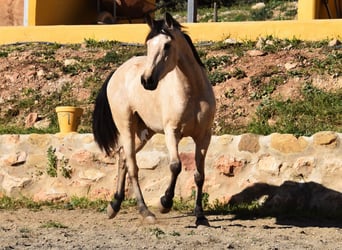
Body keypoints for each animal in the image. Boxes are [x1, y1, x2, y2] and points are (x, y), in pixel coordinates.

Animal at [93, 12, 216, 227]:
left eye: (167, 45)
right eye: (148, 44)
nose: (147, 81)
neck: (193, 92)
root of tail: (117, 73)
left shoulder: (203, 137)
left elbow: (199, 175)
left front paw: (200, 216)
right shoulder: (172, 132)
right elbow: (176, 166)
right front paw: (165, 202)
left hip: (143, 133)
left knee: (122, 156)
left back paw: (114, 205)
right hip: (126, 127)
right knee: (132, 166)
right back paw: (145, 211)